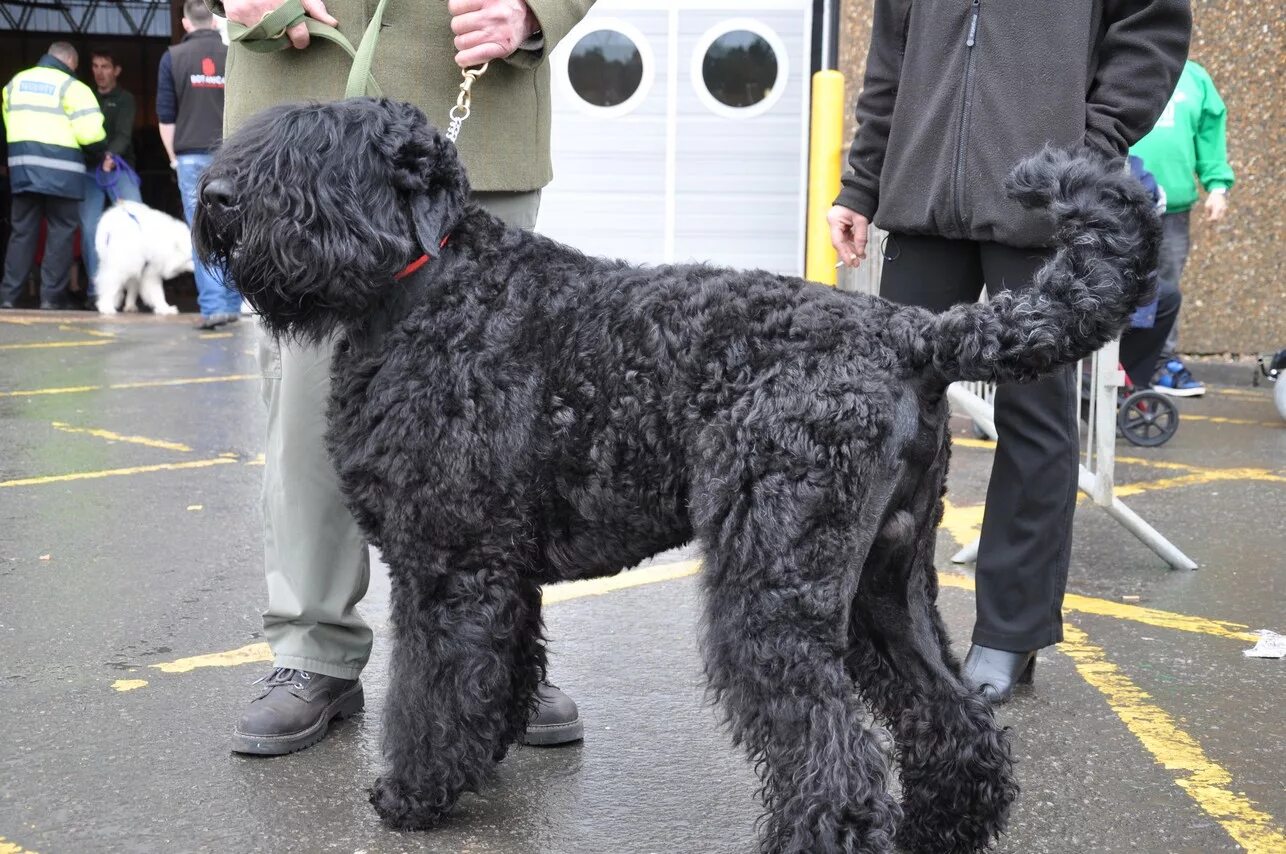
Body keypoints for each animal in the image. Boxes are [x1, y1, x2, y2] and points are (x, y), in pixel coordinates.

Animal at [192, 96, 1167, 848]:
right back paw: (944, 828)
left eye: (320, 149)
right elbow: (499, 668)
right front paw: (488, 753)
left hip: (773, 590)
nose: (216, 196)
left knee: (834, 755)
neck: (435, 286)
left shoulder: (448, 564)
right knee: (953, 720)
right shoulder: (501, 567)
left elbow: (433, 685)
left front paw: (415, 793)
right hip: (884, 586)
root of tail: (914, 334)